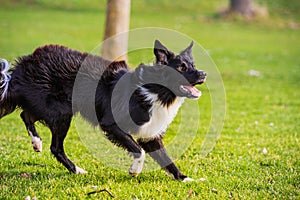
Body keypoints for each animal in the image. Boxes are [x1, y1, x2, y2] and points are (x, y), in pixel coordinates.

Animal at [0, 39, 206, 182]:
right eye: (181, 67)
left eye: (193, 66)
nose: (203, 73)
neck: (156, 90)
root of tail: (23, 66)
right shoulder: (111, 124)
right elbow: (138, 150)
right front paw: (134, 170)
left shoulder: (151, 135)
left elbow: (167, 160)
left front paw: (185, 178)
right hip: (60, 112)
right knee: (55, 146)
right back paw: (76, 169)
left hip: (49, 107)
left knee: (26, 114)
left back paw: (37, 143)